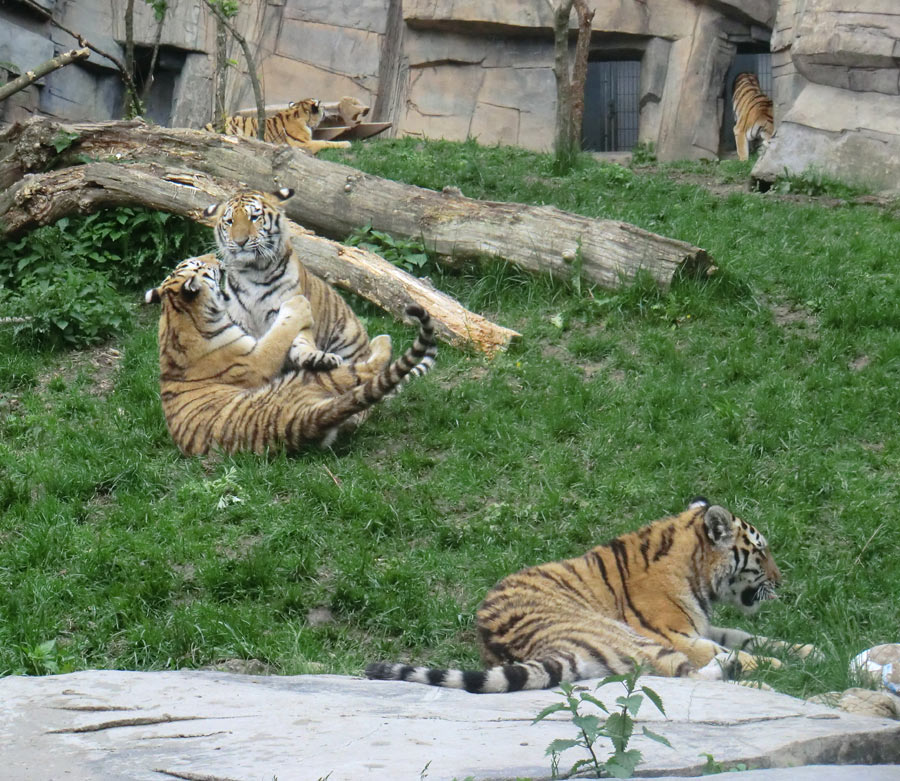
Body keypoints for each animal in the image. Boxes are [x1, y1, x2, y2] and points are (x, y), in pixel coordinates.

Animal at [144, 253, 436, 454]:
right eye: (200, 265)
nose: (216, 257)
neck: (175, 318)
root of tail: (299, 424)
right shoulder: (256, 359)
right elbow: (280, 331)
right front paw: (297, 305)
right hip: (311, 378)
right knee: (367, 369)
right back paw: (382, 341)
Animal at [362, 496, 820, 692]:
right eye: (761, 551)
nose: (781, 581)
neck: (697, 574)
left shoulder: (705, 626)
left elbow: (750, 637)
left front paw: (812, 650)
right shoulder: (674, 633)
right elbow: (737, 649)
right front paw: (793, 663)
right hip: (629, 636)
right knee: (684, 672)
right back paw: (766, 679)